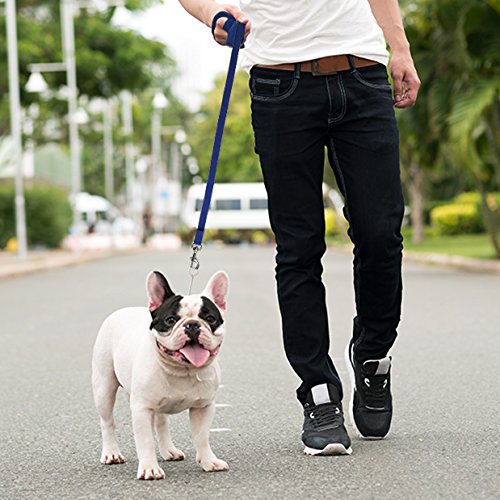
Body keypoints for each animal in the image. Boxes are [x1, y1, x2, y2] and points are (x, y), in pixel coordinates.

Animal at [92, 272, 229, 478]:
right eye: (171, 320)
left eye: (211, 318)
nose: (192, 325)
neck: (183, 370)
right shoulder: (141, 409)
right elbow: (146, 440)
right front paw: (149, 468)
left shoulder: (203, 407)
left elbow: (202, 436)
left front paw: (209, 461)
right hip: (104, 388)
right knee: (107, 422)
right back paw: (111, 453)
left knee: (161, 424)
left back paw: (169, 451)